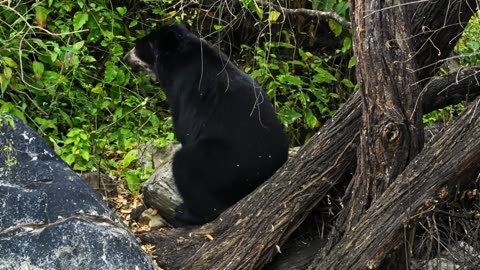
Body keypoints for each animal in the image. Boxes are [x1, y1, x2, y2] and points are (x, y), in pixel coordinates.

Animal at [124, 23, 288, 226]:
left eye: (139, 47)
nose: (126, 58)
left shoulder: (184, 90)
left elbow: (184, 128)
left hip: (222, 162)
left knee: (186, 167)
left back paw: (185, 213)